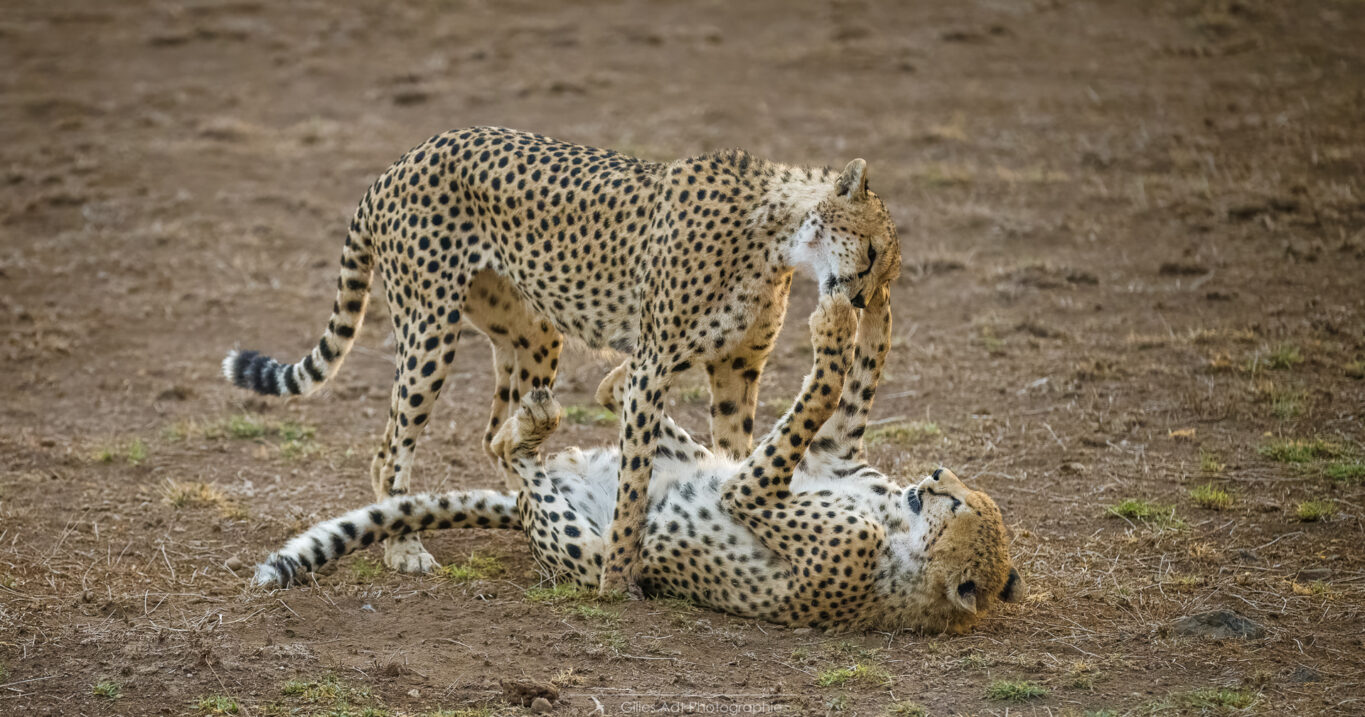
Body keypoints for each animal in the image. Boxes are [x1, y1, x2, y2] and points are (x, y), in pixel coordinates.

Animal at [221, 125, 906, 589]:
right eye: (872, 252)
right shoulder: (653, 364)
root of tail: (405, 158)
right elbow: (635, 480)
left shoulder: (735, 370)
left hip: (533, 336)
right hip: (429, 328)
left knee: (492, 431)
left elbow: (734, 452)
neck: (776, 235)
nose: (861, 299)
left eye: (887, 274)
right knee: (392, 443)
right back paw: (404, 545)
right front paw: (617, 577)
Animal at [253, 286, 1026, 630]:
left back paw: (537, 420)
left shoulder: (761, 497)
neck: (901, 540)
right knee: (619, 409)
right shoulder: (833, 456)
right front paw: (864, 307)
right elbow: (853, 380)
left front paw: (833, 322)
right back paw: (614, 376)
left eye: (958, 502)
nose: (935, 475)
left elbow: (820, 393)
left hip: (590, 549)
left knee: (506, 447)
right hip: (665, 453)